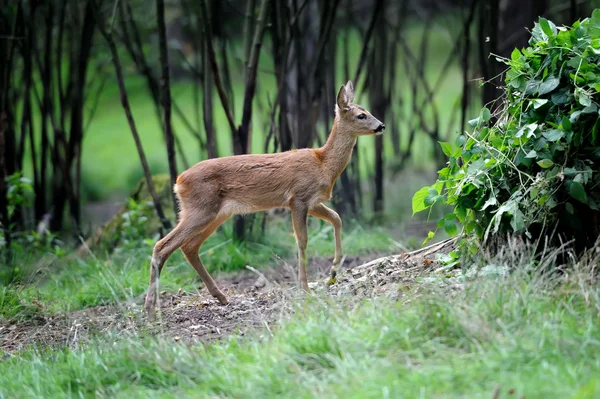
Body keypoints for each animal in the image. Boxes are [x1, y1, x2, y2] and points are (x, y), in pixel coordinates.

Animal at [143, 80, 382, 318]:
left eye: (368, 112)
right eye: (361, 115)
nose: (381, 126)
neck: (323, 164)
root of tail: (178, 181)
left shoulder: (312, 202)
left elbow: (337, 218)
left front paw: (333, 271)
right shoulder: (298, 198)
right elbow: (302, 240)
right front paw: (305, 287)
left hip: (216, 213)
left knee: (189, 246)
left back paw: (220, 296)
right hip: (200, 210)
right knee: (162, 246)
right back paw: (150, 309)